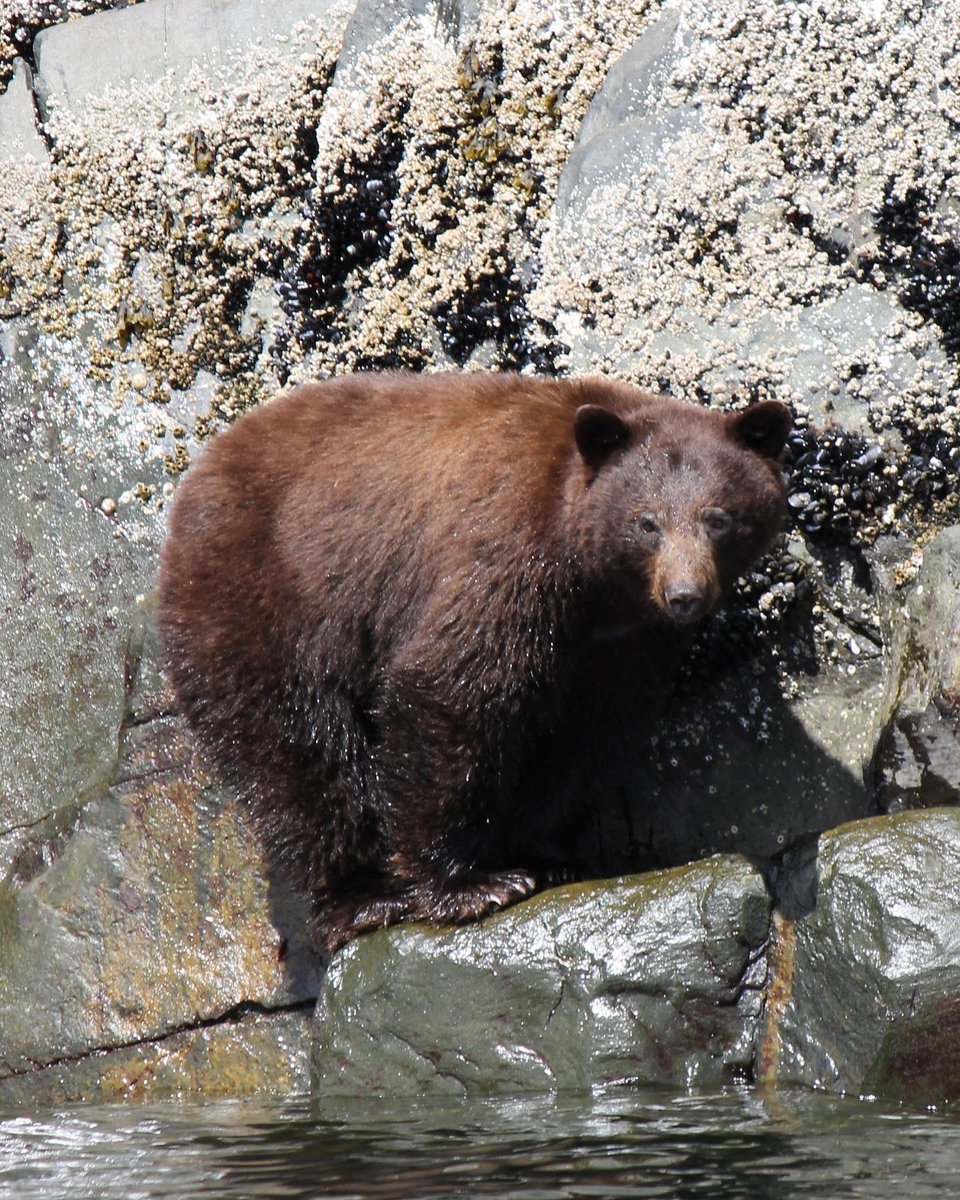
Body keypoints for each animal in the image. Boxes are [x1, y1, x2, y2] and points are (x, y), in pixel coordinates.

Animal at [156, 371, 790, 954]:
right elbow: (450, 690)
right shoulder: (505, 555)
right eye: (647, 521)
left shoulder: (623, 647)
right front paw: (468, 884)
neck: (594, 587)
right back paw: (361, 898)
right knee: (299, 751)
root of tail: (200, 472)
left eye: (719, 518)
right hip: (262, 598)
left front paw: (540, 851)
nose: (685, 596)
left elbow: (585, 734)